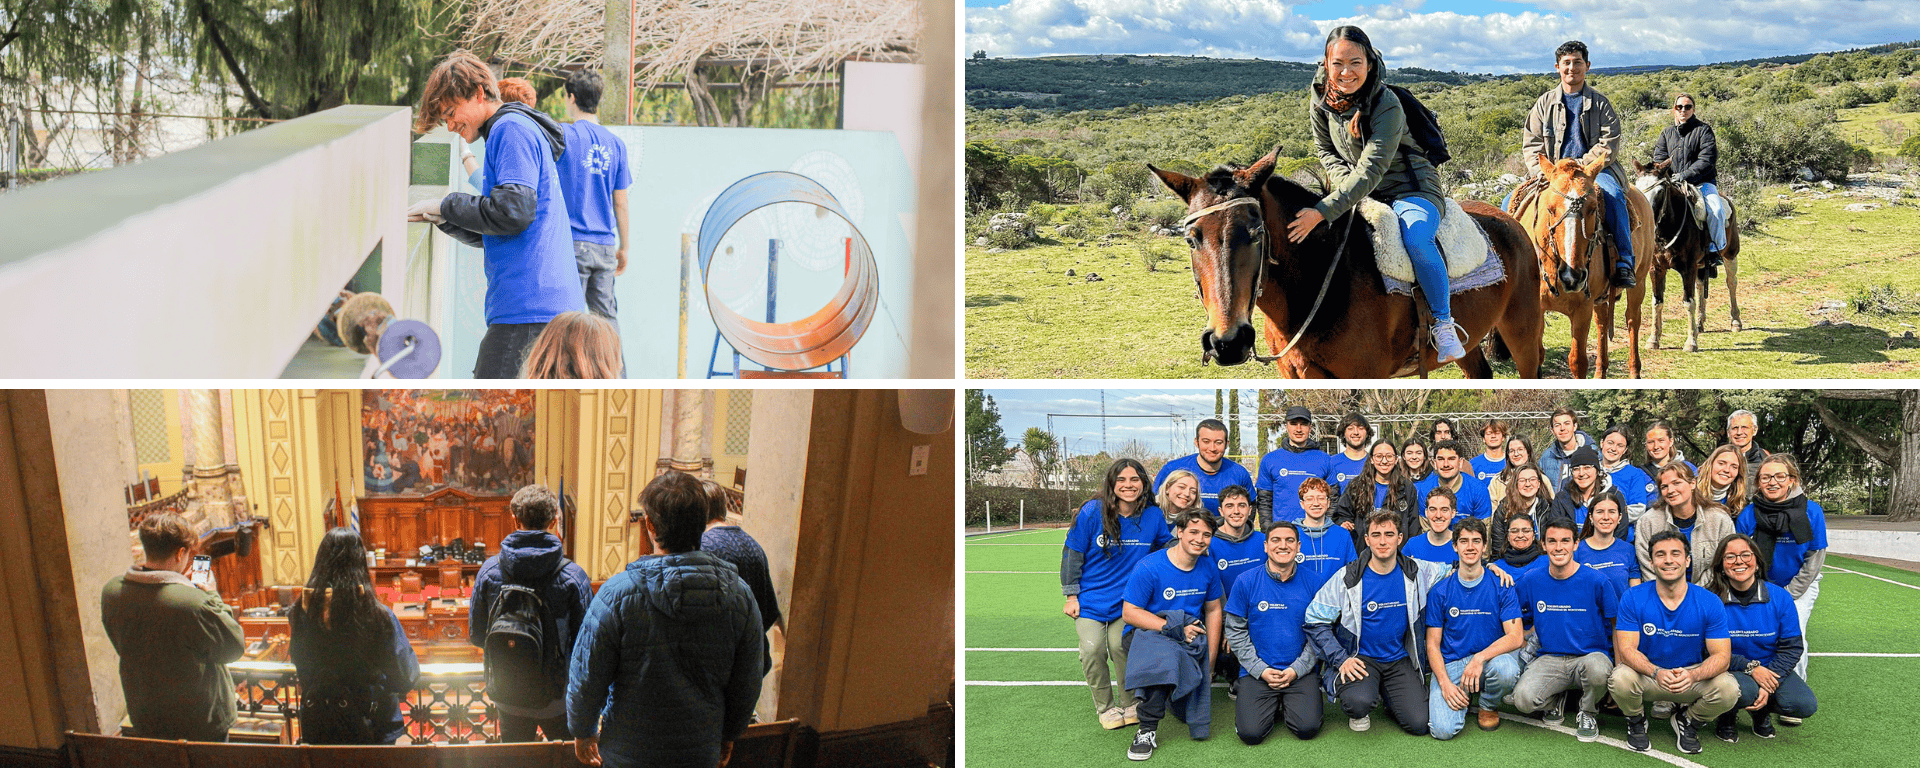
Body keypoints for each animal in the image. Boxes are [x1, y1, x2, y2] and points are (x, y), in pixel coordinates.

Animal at [1136, 145, 1543, 378]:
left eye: (1255, 233)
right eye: (1191, 238)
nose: (1228, 342)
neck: (1321, 284)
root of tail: (1511, 221)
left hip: (1522, 332)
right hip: (1470, 343)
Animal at [1497, 149, 1651, 378]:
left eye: (1593, 208)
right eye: (1550, 209)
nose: (1573, 276)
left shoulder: (1581, 309)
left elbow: (1577, 361)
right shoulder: (1537, 310)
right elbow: (1537, 358)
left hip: (1639, 283)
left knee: (1632, 320)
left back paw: (1634, 371)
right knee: (1602, 322)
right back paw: (1600, 371)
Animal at [1635, 163, 1743, 355]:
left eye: (1660, 191)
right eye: (1638, 188)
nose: (1645, 218)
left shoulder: (1688, 269)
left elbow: (1688, 302)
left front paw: (1691, 342)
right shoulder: (1656, 269)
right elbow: (1657, 302)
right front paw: (1653, 339)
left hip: (1730, 254)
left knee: (1731, 283)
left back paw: (1735, 321)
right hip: (1701, 264)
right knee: (1700, 286)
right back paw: (1699, 323)